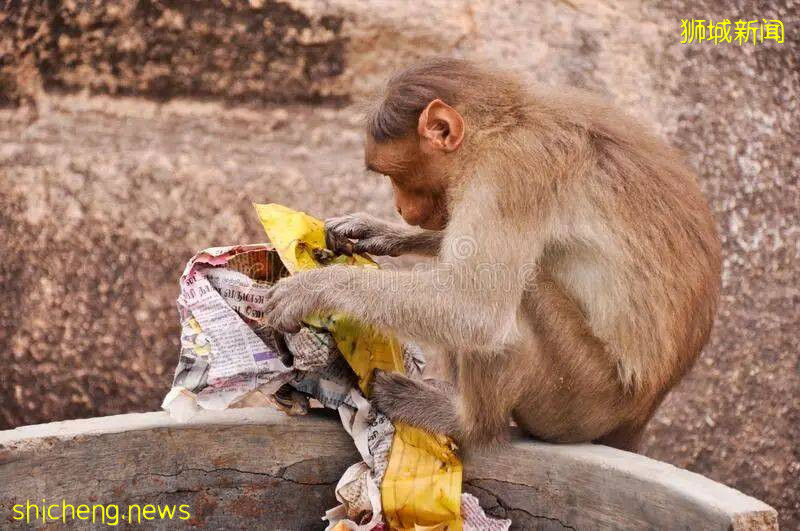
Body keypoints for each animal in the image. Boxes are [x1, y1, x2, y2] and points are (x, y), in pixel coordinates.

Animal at [264, 59, 724, 454]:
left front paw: (315, 288)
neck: (506, 123)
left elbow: (473, 305)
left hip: (580, 398)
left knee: (516, 300)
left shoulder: (510, 171)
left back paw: (464, 422)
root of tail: (640, 412)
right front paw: (378, 233)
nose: (399, 209)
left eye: (395, 174)